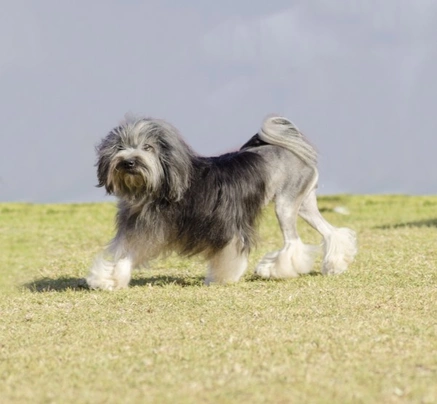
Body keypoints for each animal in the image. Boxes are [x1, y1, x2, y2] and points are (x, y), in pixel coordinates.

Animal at [87, 115, 356, 288]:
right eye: (120, 146)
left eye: (148, 147)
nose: (129, 162)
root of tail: (291, 148)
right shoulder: (144, 229)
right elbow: (127, 255)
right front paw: (109, 279)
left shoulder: (227, 226)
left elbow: (229, 252)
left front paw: (222, 278)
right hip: (304, 205)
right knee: (331, 232)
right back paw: (335, 264)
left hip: (286, 204)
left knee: (293, 242)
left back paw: (271, 270)